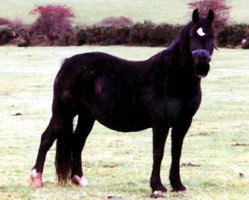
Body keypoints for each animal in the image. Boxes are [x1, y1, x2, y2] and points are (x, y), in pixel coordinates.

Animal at [30, 9, 214, 195]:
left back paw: (79, 178)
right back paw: (36, 178)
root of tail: (67, 63)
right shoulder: (160, 123)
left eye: (212, 35)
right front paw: (157, 187)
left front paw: (177, 185)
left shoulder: (183, 123)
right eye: (192, 35)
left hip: (86, 116)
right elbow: (158, 152)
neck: (172, 77)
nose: (202, 66)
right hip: (64, 111)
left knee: (77, 142)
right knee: (47, 138)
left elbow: (176, 152)